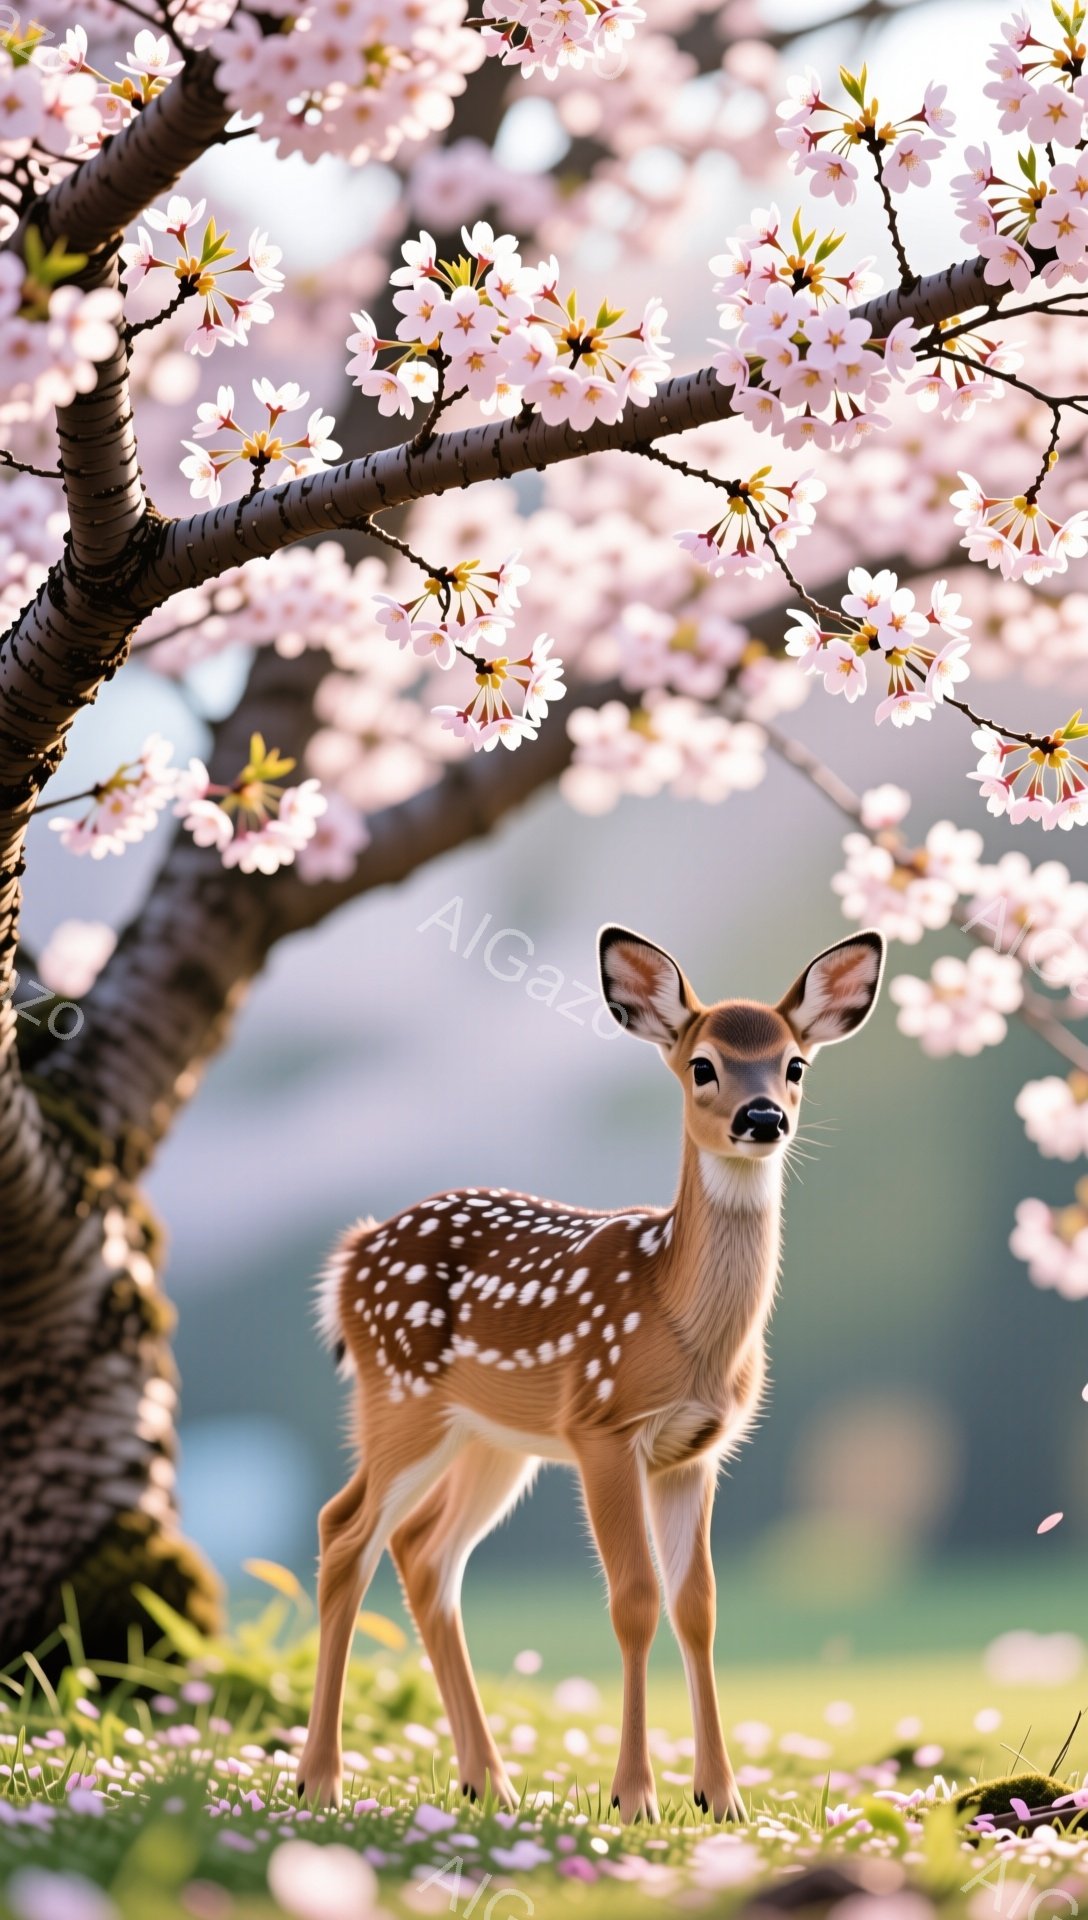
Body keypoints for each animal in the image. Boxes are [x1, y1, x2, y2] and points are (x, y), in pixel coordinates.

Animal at [299, 923, 886, 1822]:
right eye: (703, 1065)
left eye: (794, 1065)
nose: (763, 1118)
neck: (682, 1324)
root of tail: (351, 1254)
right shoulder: (603, 1429)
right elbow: (635, 1599)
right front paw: (634, 1796)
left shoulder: (696, 1451)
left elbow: (698, 1605)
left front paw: (721, 1797)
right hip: (399, 1398)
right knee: (345, 1530)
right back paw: (320, 1778)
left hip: (492, 1441)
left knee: (423, 1551)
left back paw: (488, 1780)